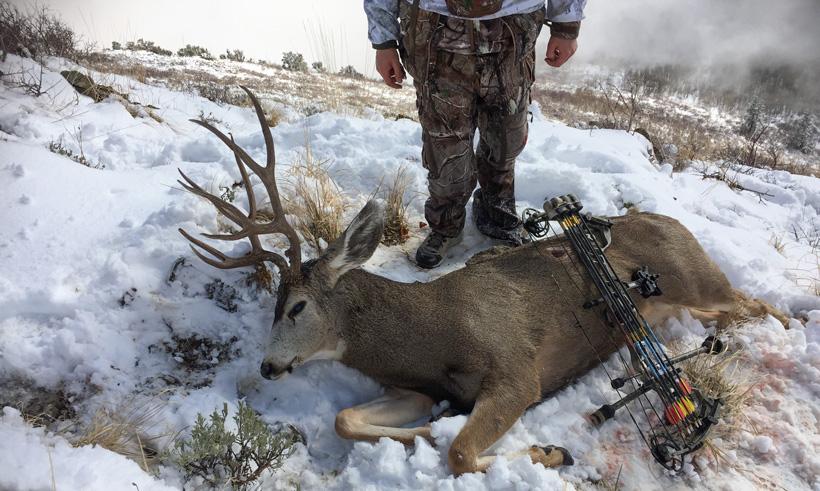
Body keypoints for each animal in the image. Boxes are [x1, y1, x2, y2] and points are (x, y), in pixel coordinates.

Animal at [177, 87, 789, 476]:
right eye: (272, 305)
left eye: (298, 306)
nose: (268, 366)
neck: (427, 332)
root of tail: (676, 224)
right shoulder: (415, 386)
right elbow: (346, 418)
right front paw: (435, 428)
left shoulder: (516, 370)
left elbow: (460, 455)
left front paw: (551, 452)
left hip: (697, 282)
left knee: (756, 305)